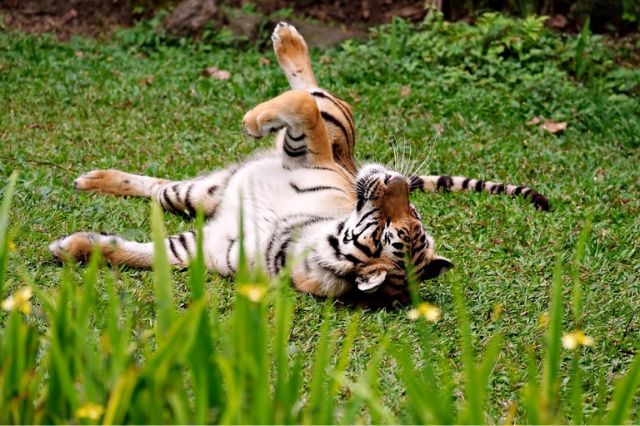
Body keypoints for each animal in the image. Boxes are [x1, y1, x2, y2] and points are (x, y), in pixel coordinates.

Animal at [50, 22, 552, 302]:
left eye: (389, 232)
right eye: (411, 217)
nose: (393, 179)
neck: (301, 242)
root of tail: (353, 161)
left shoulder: (199, 249)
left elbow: (134, 251)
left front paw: (69, 247)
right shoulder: (309, 153)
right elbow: (302, 108)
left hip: (198, 194)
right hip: (251, 173)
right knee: (312, 91)